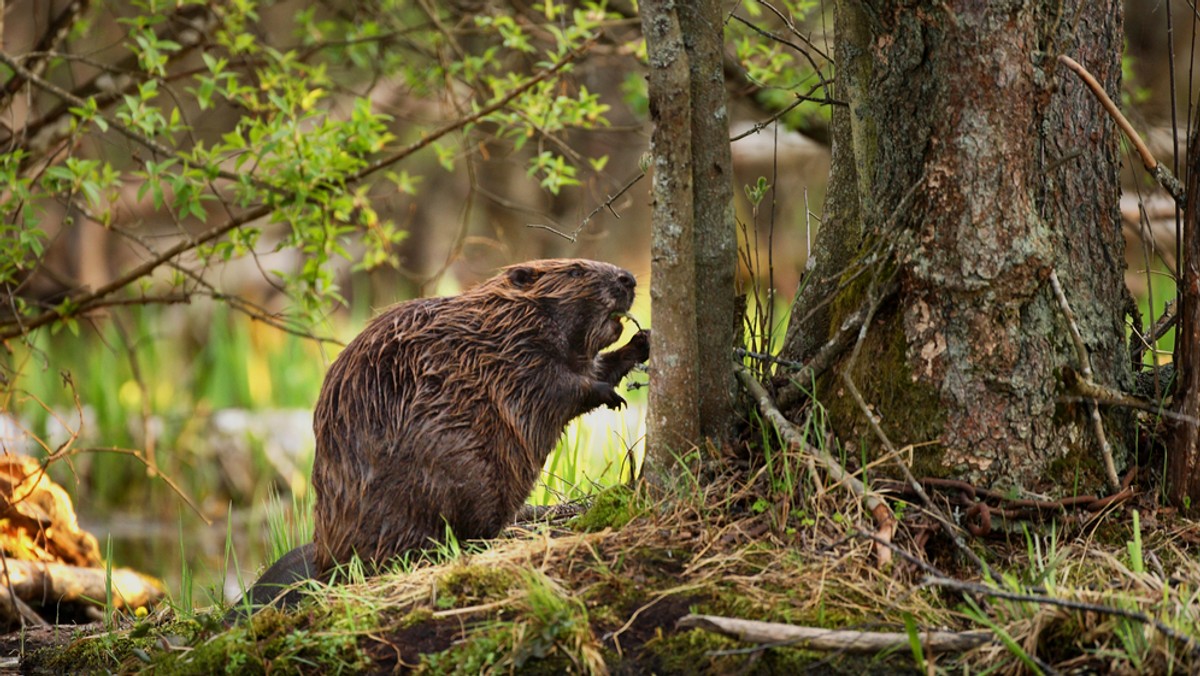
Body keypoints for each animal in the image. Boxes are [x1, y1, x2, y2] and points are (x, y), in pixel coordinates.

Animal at [232, 259, 648, 614]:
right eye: (576, 270)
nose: (629, 278)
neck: (505, 321)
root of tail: (324, 565)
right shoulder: (516, 357)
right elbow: (558, 386)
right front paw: (609, 393)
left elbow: (592, 367)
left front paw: (642, 341)